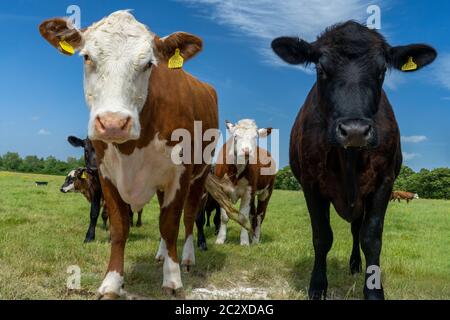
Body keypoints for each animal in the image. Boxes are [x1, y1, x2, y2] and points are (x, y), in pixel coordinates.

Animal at [39, 10, 219, 300]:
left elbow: (171, 225)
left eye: (148, 64)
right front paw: (112, 282)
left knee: (191, 218)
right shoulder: (106, 176)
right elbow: (119, 227)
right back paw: (161, 255)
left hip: (200, 176)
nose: (113, 123)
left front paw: (172, 280)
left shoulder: (179, 175)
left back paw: (187, 258)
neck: (132, 148)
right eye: (87, 57)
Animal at [270, 20, 436, 300]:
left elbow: (371, 238)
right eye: (321, 68)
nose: (355, 130)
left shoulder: (384, 182)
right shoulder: (310, 183)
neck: (348, 158)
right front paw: (317, 285)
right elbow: (321, 236)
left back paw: (355, 265)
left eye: (382, 70)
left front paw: (374, 290)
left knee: (357, 229)